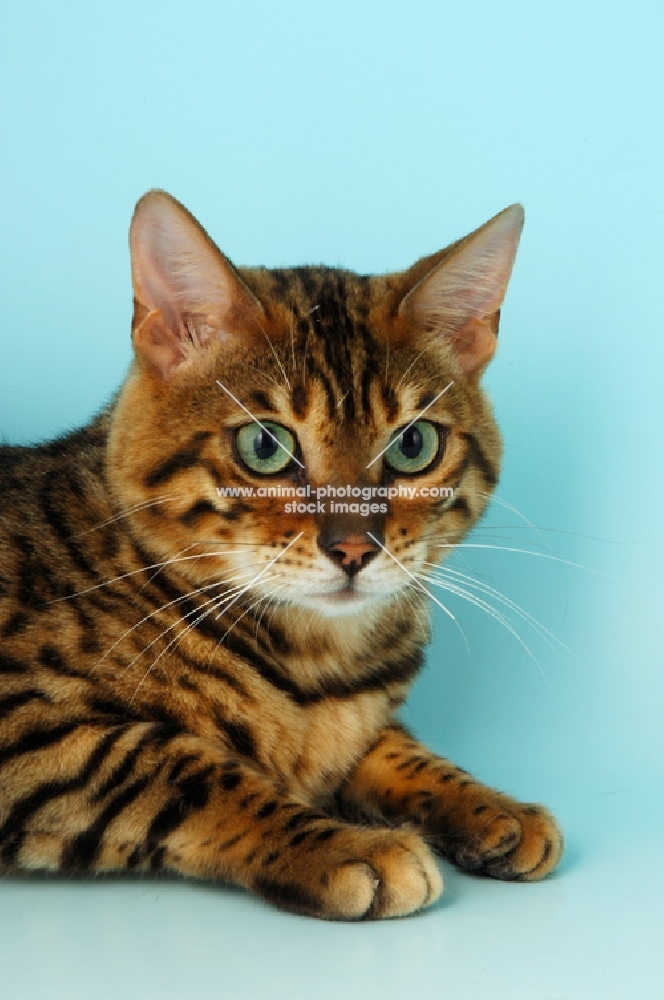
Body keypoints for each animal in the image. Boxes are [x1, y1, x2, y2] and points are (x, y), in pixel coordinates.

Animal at [0, 191, 564, 916]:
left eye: (414, 445)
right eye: (264, 446)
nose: (354, 547)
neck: (316, 664)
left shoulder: (356, 718)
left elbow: (391, 746)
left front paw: (492, 805)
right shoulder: (28, 722)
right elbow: (176, 764)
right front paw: (346, 846)